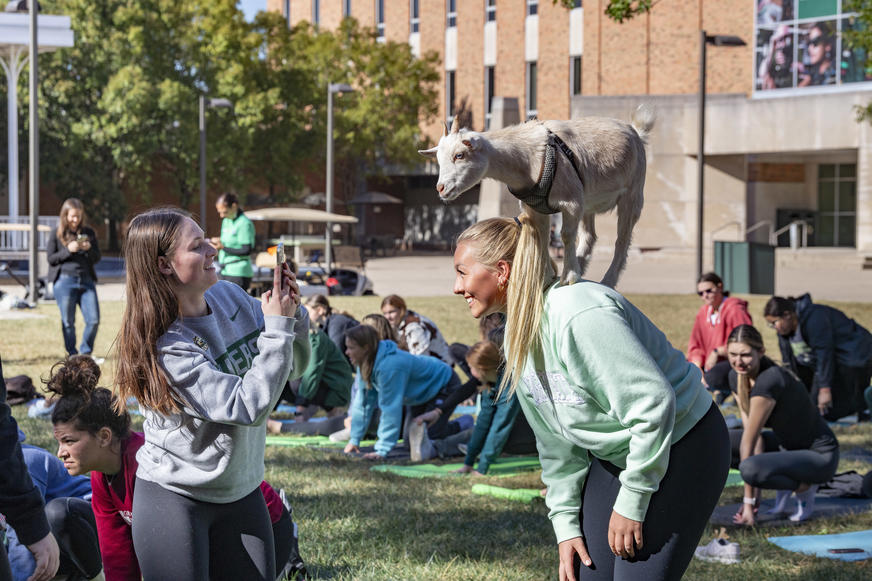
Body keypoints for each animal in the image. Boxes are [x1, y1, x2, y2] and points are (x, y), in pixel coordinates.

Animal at [418, 105, 656, 286]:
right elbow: (541, 239)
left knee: (621, 240)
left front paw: (569, 276)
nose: (441, 188)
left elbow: (566, 235)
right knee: (590, 235)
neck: (526, 157)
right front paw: (547, 278)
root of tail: (636, 132)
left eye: (460, 155)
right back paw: (581, 264)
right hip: (588, 201)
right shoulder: (535, 208)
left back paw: (607, 280)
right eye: (438, 159)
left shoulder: (571, 202)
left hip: (633, 194)